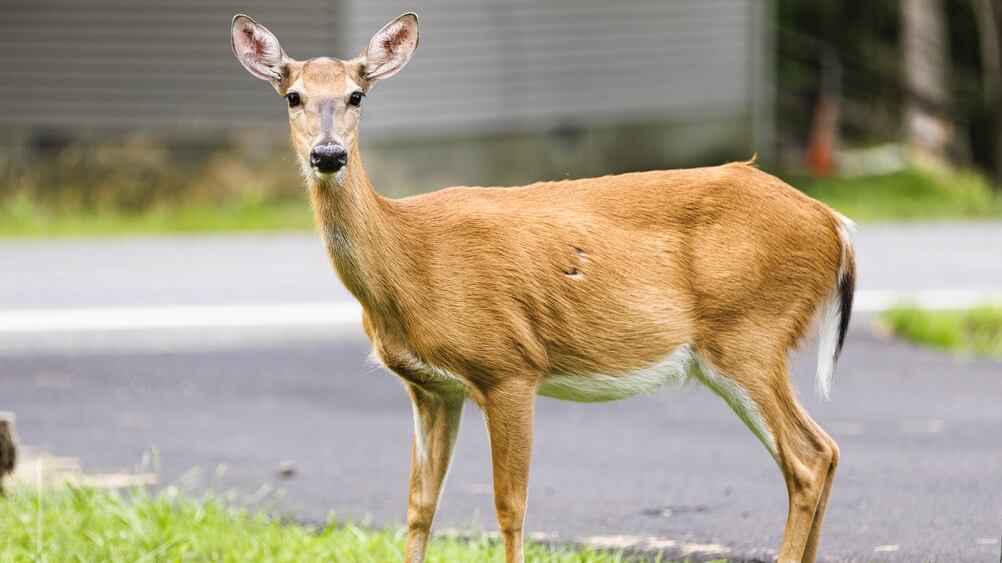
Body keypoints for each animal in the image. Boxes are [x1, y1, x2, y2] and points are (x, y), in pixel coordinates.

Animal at [231, 12, 856, 563]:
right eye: (293, 97)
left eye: (357, 95)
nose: (328, 154)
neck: (411, 258)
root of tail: (834, 224)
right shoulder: (431, 388)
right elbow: (419, 506)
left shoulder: (508, 366)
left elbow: (511, 508)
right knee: (822, 453)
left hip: (750, 332)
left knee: (807, 459)